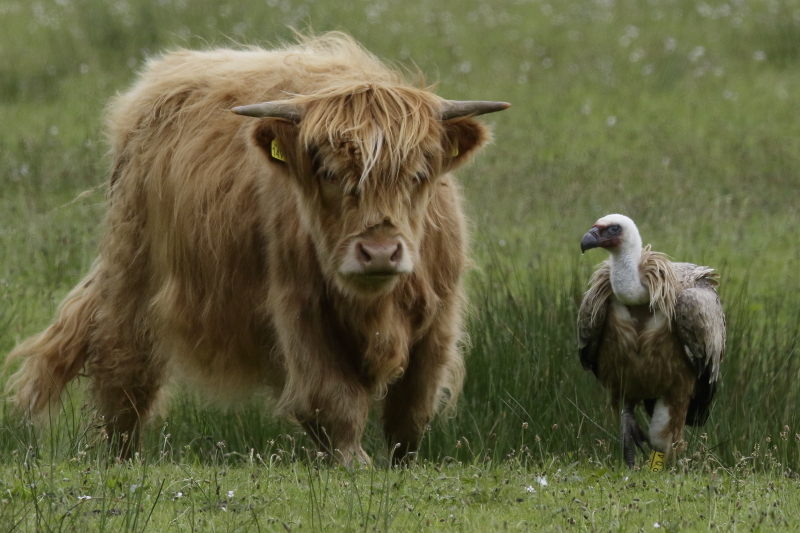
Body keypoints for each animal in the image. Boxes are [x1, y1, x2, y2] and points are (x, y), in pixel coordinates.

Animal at [6, 33, 510, 464]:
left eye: (420, 173)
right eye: (328, 172)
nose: (381, 252)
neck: (375, 307)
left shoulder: (440, 318)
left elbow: (411, 411)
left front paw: (399, 465)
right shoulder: (298, 309)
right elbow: (334, 398)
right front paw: (354, 463)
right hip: (132, 269)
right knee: (123, 371)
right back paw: (121, 458)